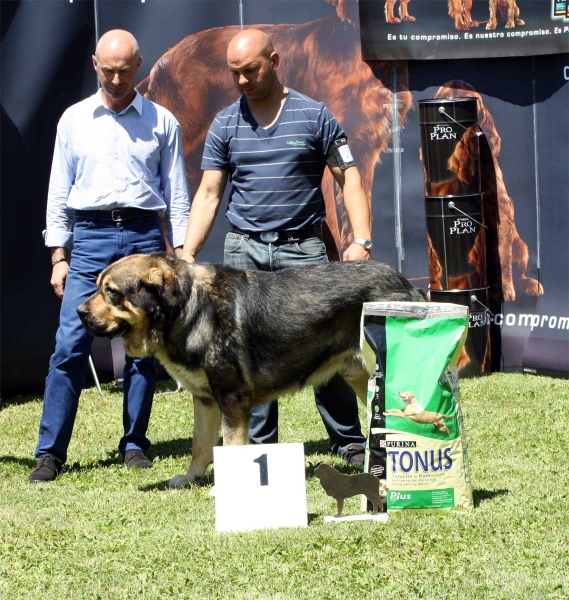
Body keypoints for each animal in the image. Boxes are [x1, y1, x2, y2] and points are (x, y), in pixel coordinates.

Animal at [76, 253, 426, 488]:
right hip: (360, 376)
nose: (79, 312)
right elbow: (200, 445)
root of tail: (409, 286)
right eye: (98, 287)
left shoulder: (231, 398)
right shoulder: (206, 399)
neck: (188, 309)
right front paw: (190, 478)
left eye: (111, 292)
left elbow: (231, 446)